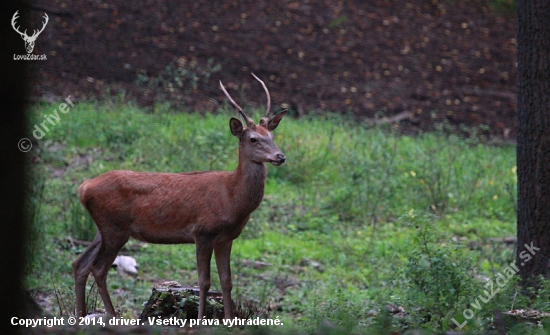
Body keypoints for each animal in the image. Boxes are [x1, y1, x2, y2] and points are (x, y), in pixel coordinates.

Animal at [73, 75, 288, 322]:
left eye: (272, 136)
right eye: (253, 139)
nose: (280, 156)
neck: (232, 198)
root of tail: (83, 188)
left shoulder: (226, 237)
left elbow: (227, 282)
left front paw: (229, 321)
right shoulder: (202, 232)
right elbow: (204, 282)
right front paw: (200, 319)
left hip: (104, 228)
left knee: (80, 264)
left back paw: (80, 315)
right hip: (115, 227)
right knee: (98, 269)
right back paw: (111, 314)